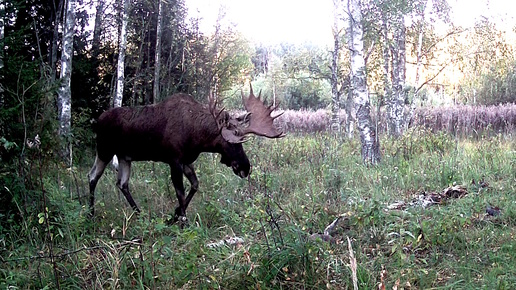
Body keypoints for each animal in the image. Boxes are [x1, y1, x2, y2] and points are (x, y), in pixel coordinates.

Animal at [87, 85, 282, 221]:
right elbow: (180, 192)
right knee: (93, 176)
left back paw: (139, 214)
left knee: (122, 183)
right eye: (233, 142)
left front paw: (174, 215)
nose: (245, 167)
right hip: (104, 150)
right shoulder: (174, 160)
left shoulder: (187, 160)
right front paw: (183, 221)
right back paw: (91, 213)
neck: (198, 137)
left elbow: (195, 185)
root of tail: (96, 122)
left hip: (124, 157)